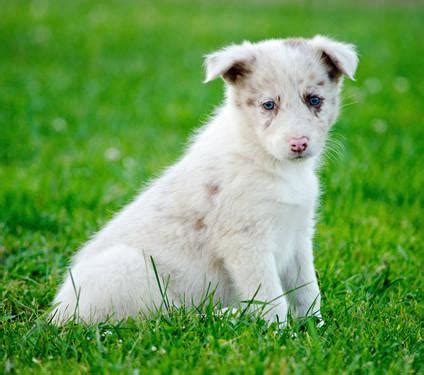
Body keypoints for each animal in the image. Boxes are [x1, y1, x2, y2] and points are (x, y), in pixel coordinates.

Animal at [51, 35, 360, 324]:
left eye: (314, 100)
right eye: (268, 104)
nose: (299, 144)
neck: (267, 160)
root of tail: (57, 314)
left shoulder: (298, 235)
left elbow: (307, 290)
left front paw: (316, 326)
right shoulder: (246, 241)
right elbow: (271, 297)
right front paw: (278, 333)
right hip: (128, 267)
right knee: (164, 317)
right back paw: (226, 315)